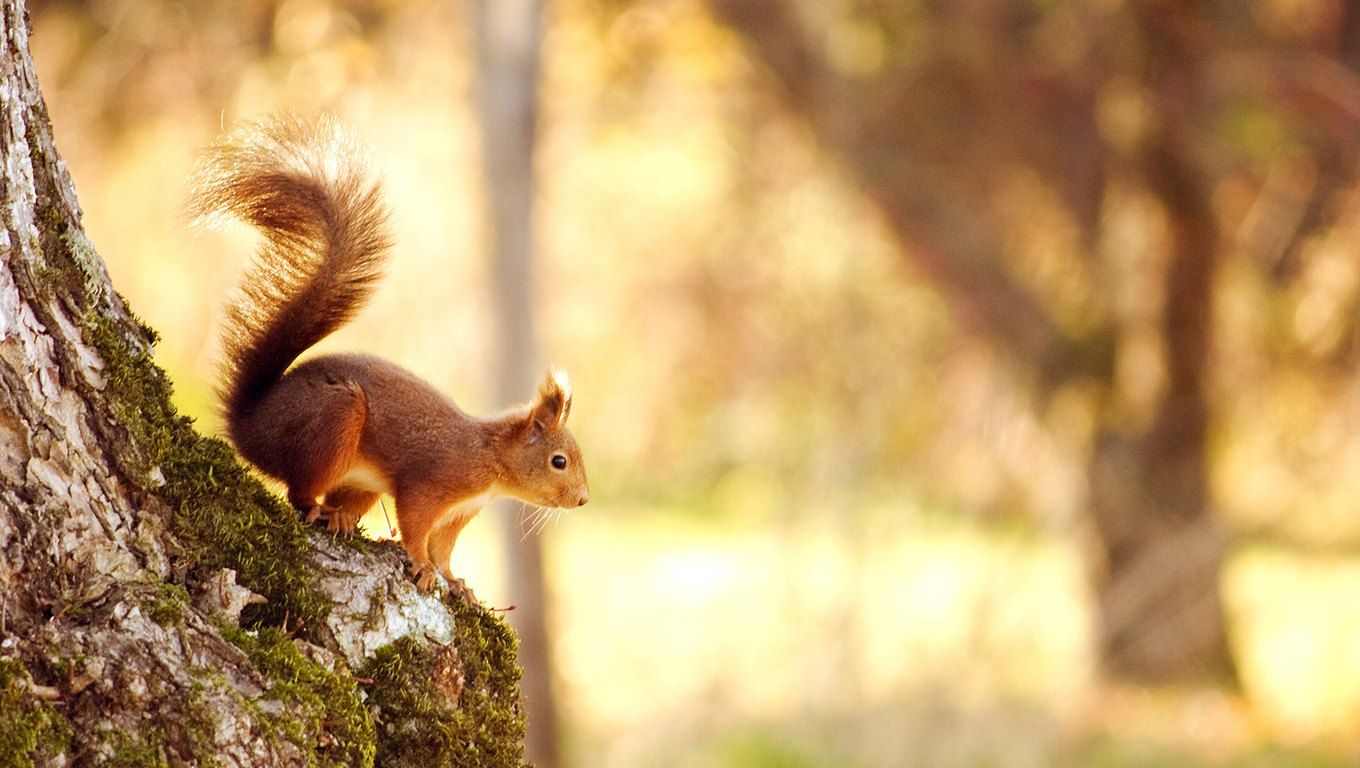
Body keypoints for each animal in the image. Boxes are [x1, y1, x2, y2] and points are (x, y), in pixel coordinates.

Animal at [192, 115, 589, 596]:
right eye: (558, 461)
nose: (584, 499)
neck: (489, 459)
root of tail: (249, 424)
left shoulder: (459, 512)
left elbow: (444, 547)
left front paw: (455, 580)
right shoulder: (432, 483)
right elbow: (416, 526)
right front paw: (421, 566)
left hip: (360, 480)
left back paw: (342, 516)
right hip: (332, 422)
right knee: (299, 493)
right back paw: (321, 510)